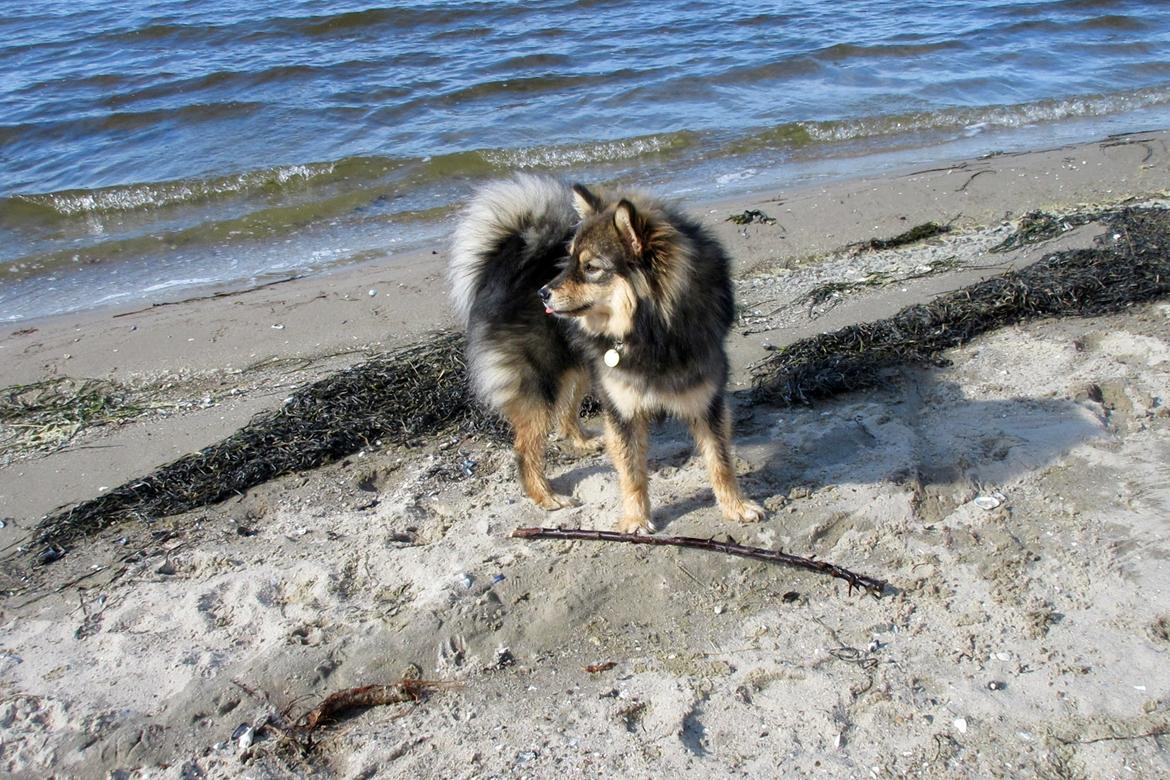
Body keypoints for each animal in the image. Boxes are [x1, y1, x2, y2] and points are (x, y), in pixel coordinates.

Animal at [446, 174, 767, 533]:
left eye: (591, 267)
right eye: (570, 261)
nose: (543, 293)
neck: (651, 331)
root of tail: (506, 262)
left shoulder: (706, 401)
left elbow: (720, 461)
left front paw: (735, 506)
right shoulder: (623, 409)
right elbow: (631, 473)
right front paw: (636, 519)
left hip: (579, 369)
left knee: (565, 412)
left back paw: (582, 441)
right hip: (541, 385)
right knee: (525, 448)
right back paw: (546, 497)